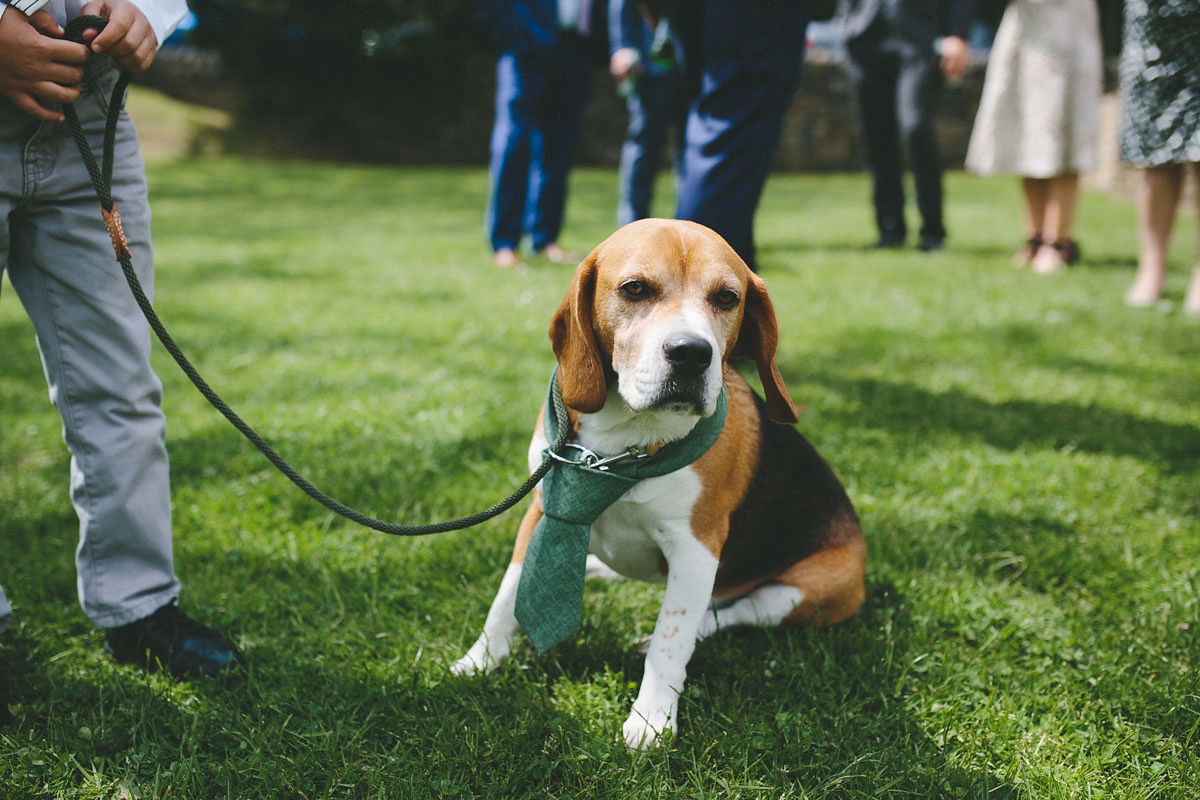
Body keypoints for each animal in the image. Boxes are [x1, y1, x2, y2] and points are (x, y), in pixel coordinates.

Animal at [451, 215, 864, 748]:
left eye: (727, 297)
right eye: (634, 288)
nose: (691, 354)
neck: (613, 449)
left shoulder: (696, 548)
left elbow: (674, 636)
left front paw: (651, 720)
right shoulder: (544, 510)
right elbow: (507, 597)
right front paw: (478, 661)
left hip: (806, 591)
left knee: (728, 614)